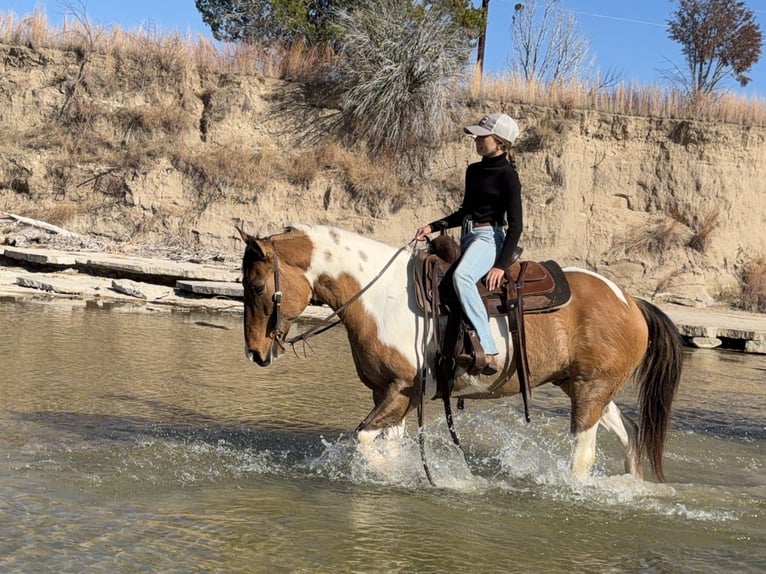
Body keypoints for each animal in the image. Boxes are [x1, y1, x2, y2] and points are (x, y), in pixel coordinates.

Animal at [237, 223, 683, 482]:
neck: (379, 296)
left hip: (590, 391)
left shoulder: (402, 391)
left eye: (256, 286)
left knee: (584, 455)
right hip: (586, 389)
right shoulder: (391, 394)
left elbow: (365, 440)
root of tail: (631, 301)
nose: (255, 352)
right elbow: (389, 443)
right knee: (631, 434)